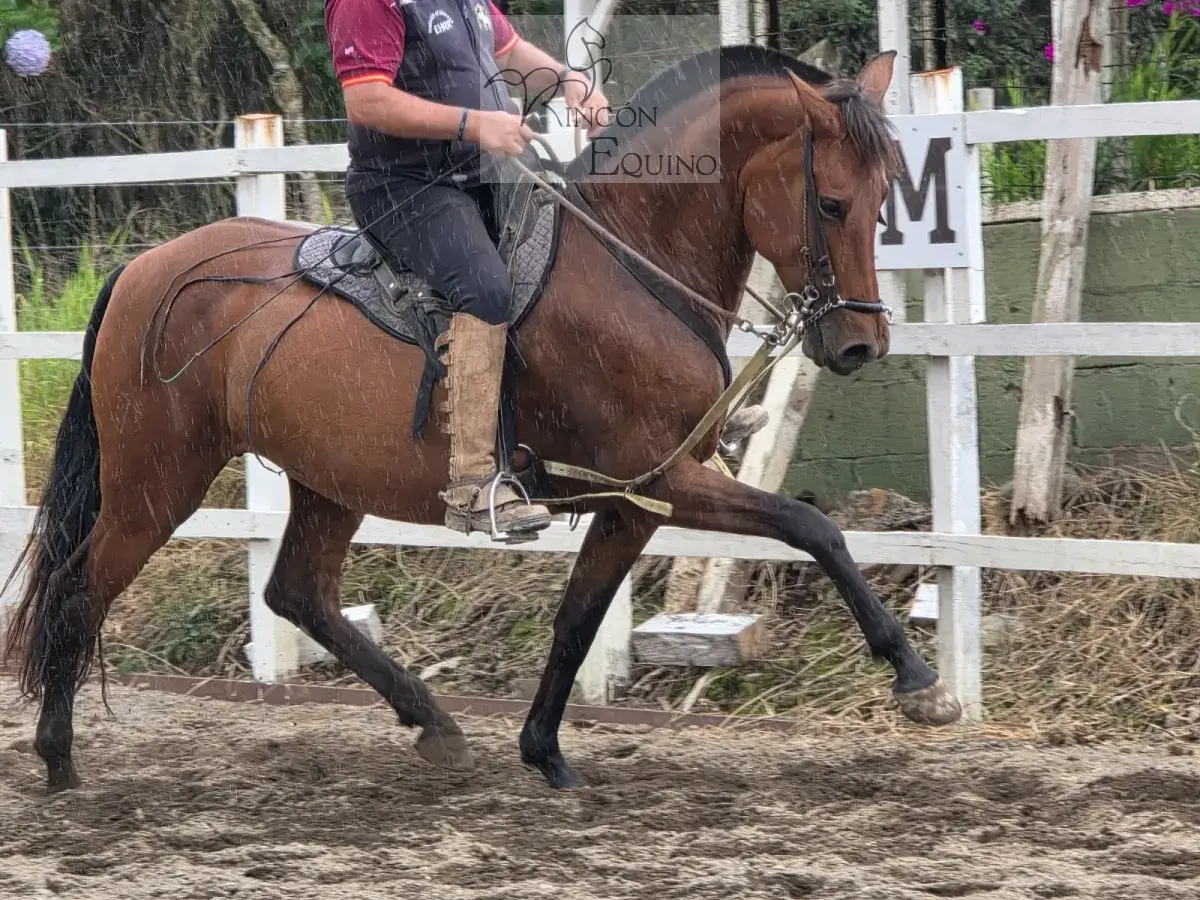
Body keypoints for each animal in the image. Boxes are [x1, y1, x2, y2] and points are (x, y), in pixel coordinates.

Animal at [2, 44, 962, 795]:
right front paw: (916, 676)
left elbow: (578, 620)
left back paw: (432, 721)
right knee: (82, 589)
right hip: (154, 482)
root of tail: (143, 270)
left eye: (888, 194)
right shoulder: (664, 479)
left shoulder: (632, 500)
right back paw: (57, 755)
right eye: (831, 202)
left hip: (325, 481)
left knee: (297, 594)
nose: (860, 342)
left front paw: (544, 752)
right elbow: (812, 526)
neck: (629, 264)